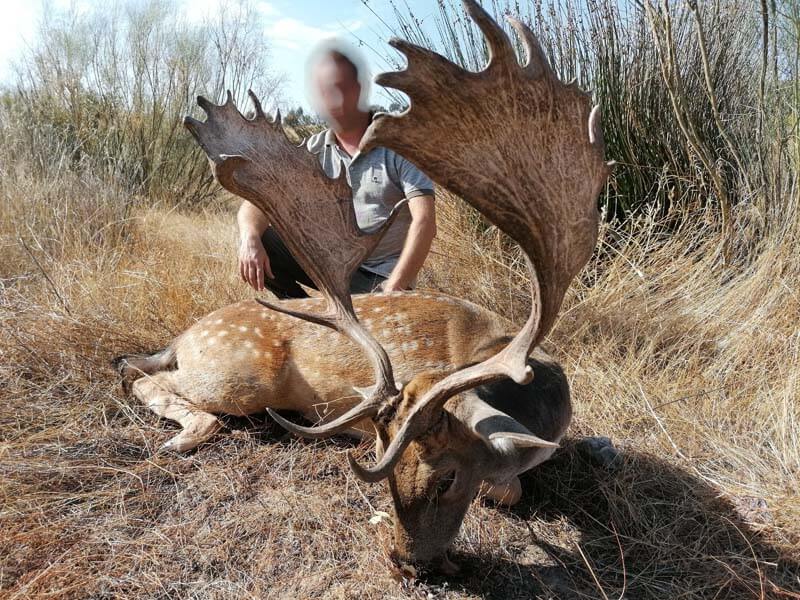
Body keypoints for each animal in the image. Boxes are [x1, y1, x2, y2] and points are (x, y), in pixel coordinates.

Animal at [114, 0, 611, 574]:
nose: (405, 560)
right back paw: (184, 436)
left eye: (447, 477)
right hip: (235, 372)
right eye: (385, 465)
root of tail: (187, 334)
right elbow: (508, 488)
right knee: (141, 375)